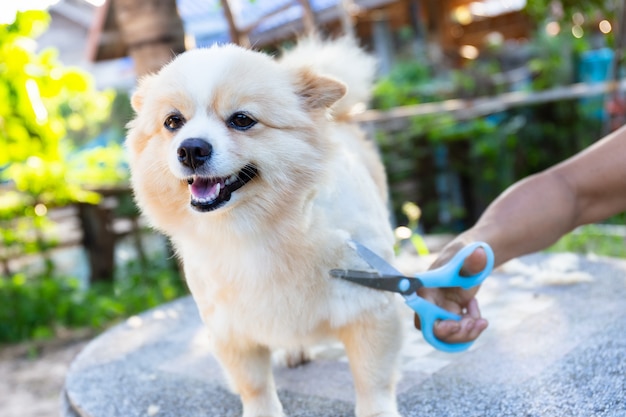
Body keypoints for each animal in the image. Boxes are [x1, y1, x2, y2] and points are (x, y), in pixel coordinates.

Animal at [125, 36, 402, 416]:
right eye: (172, 122)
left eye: (242, 120)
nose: (191, 149)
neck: (256, 231)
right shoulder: (230, 328)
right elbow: (254, 386)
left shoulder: (371, 306)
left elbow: (372, 379)